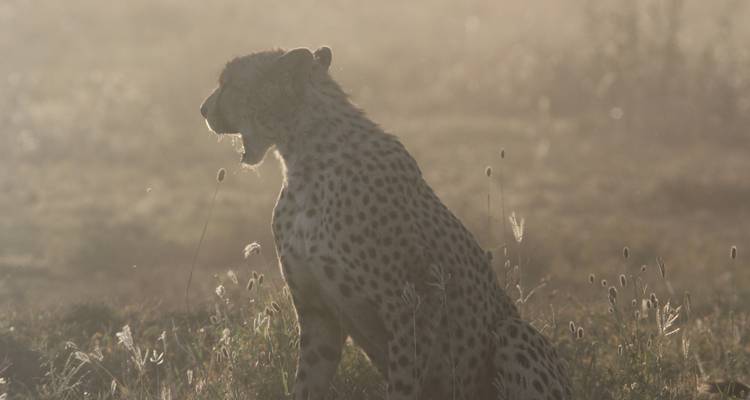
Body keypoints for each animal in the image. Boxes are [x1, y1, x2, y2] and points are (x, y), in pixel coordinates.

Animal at [200, 46, 571, 400]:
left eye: (229, 83)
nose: (203, 109)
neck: (304, 158)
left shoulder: (414, 306)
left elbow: (404, 383)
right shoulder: (318, 313)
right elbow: (306, 385)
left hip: (512, 331)